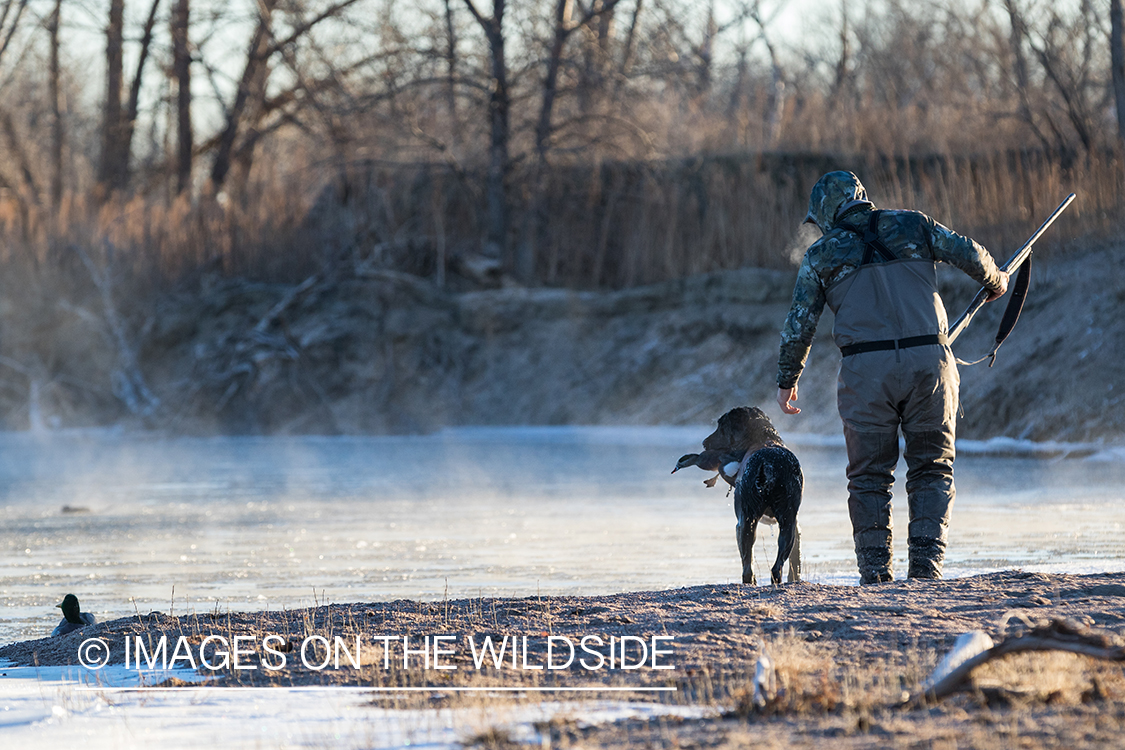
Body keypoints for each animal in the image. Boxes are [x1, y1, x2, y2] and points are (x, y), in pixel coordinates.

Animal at [670, 404, 805, 584]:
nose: (704, 443)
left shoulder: (740, 523)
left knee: (747, 568)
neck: (764, 438)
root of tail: (769, 465)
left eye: (721, 427)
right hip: (786, 521)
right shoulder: (795, 525)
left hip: (746, 520)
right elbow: (795, 562)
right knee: (777, 567)